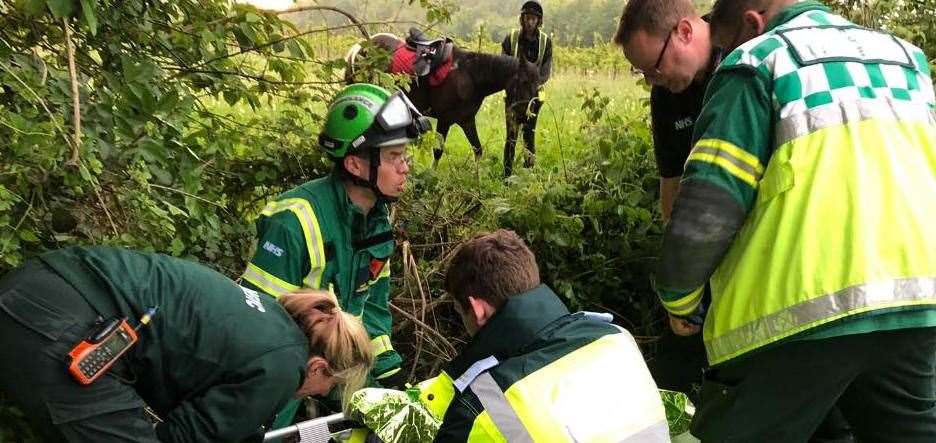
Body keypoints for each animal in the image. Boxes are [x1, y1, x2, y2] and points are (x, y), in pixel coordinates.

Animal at [346, 33, 540, 166]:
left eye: (537, 84)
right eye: (524, 82)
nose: (527, 116)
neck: (471, 75)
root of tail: (357, 48)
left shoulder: (466, 120)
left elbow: (478, 150)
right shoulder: (445, 120)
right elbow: (438, 151)